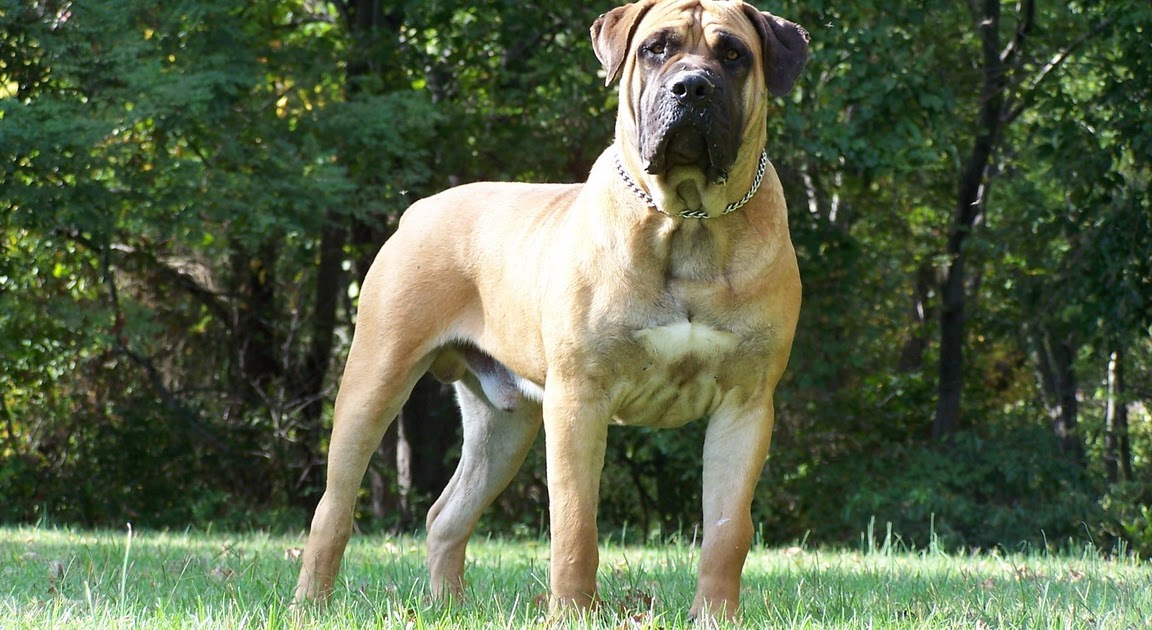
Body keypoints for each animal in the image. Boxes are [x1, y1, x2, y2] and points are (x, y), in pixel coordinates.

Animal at [292, 0, 806, 621]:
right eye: (655, 49)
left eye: (733, 54)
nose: (691, 86)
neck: (687, 221)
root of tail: (418, 210)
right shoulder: (579, 398)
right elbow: (575, 523)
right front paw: (573, 613)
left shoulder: (745, 405)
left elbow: (728, 529)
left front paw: (715, 617)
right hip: (376, 378)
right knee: (334, 505)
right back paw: (310, 603)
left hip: (503, 424)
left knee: (446, 516)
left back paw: (448, 608)